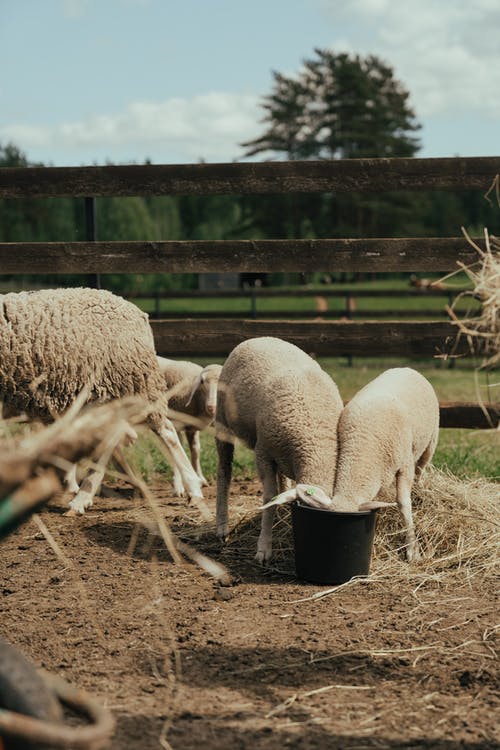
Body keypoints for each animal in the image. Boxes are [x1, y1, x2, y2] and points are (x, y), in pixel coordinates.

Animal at [0, 284, 204, 516]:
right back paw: (83, 496)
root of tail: (138, 313)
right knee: (108, 440)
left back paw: (193, 490)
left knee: (167, 432)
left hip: (134, 385)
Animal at [154, 358, 221, 500]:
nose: (212, 407)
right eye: (202, 382)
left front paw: (200, 479)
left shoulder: (191, 427)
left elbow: (195, 450)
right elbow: (176, 450)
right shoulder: (174, 424)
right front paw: (178, 487)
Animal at [213, 336, 342, 564]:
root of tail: (260, 337)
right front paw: (264, 548)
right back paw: (222, 527)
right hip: (223, 423)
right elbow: (269, 497)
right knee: (224, 472)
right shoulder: (263, 453)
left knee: (282, 477)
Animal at [330, 368, 440, 560]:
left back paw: (421, 490)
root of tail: (406, 368)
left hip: (430, 440)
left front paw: (412, 549)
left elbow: (403, 503)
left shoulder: (405, 465)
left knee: (421, 470)